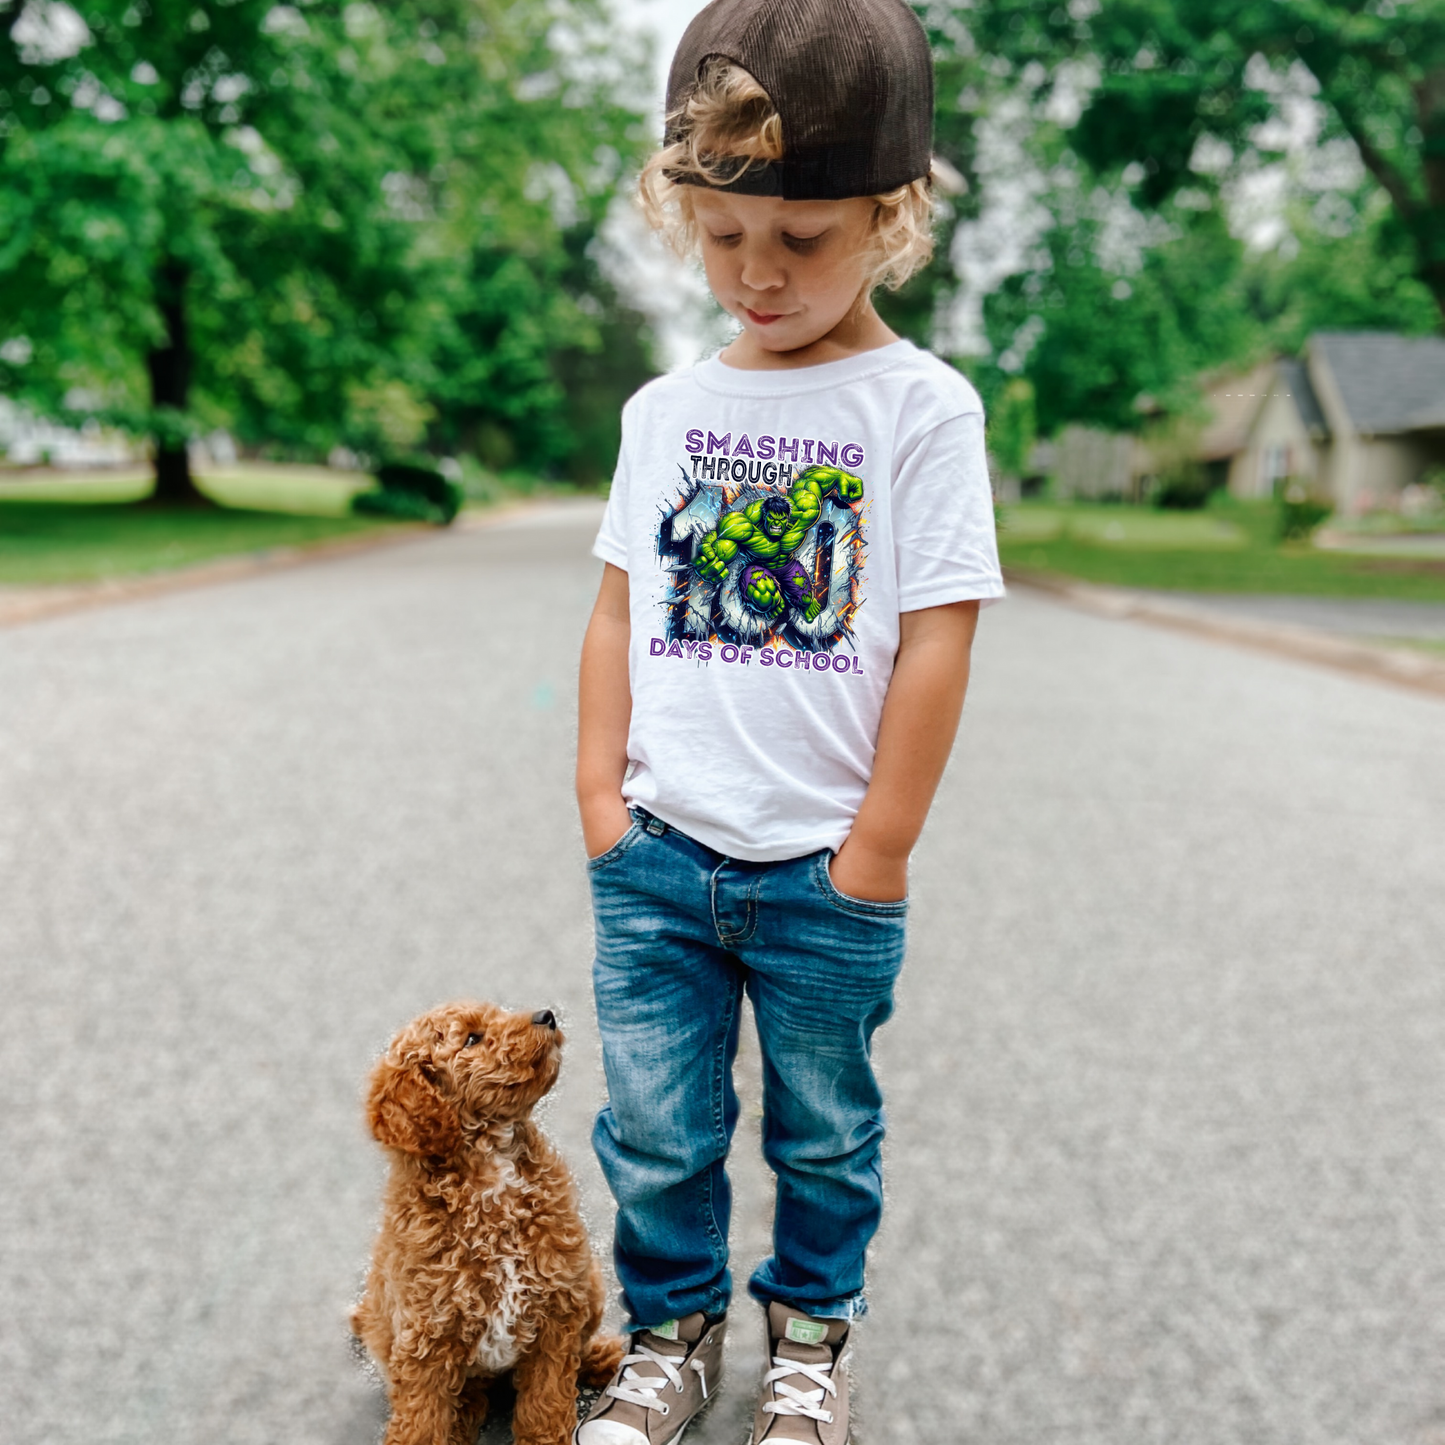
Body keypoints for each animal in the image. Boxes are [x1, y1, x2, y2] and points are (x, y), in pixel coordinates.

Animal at [352, 999, 624, 1445]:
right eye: (472, 1038)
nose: (546, 1015)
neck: (492, 1176)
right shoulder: (426, 1341)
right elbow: (420, 1422)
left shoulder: (556, 1313)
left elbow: (545, 1407)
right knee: (466, 1393)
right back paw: (463, 1418)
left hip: (590, 1284)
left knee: (575, 1354)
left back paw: (603, 1358)